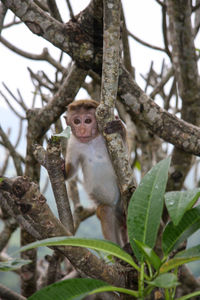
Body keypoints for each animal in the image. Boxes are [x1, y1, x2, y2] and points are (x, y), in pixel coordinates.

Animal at [64, 99, 126, 245]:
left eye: (87, 121)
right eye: (76, 121)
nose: (82, 130)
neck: (90, 141)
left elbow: (124, 153)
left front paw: (119, 127)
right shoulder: (73, 143)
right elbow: (72, 169)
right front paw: (62, 169)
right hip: (113, 210)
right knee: (105, 211)